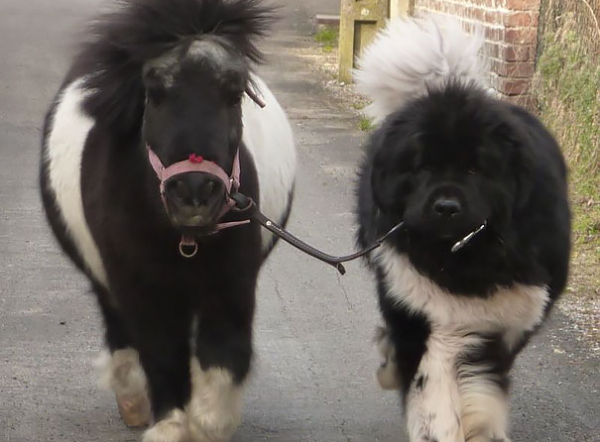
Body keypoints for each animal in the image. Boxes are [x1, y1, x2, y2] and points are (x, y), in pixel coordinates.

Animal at [39, 1, 296, 440]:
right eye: (154, 93)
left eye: (234, 93)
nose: (194, 193)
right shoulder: (141, 286)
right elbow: (160, 353)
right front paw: (169, 424)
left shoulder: (231, 286)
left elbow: (222, 356)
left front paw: (206, 423)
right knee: (121, 333)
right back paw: (133, 403)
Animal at [356, 18, 572, 442]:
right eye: (422, 166)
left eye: (475, 169)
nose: (446, 207)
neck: (466, 259)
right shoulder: (428, 311)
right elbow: (435, 391)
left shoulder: (503, 317)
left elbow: (480, 383)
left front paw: (482, 426)